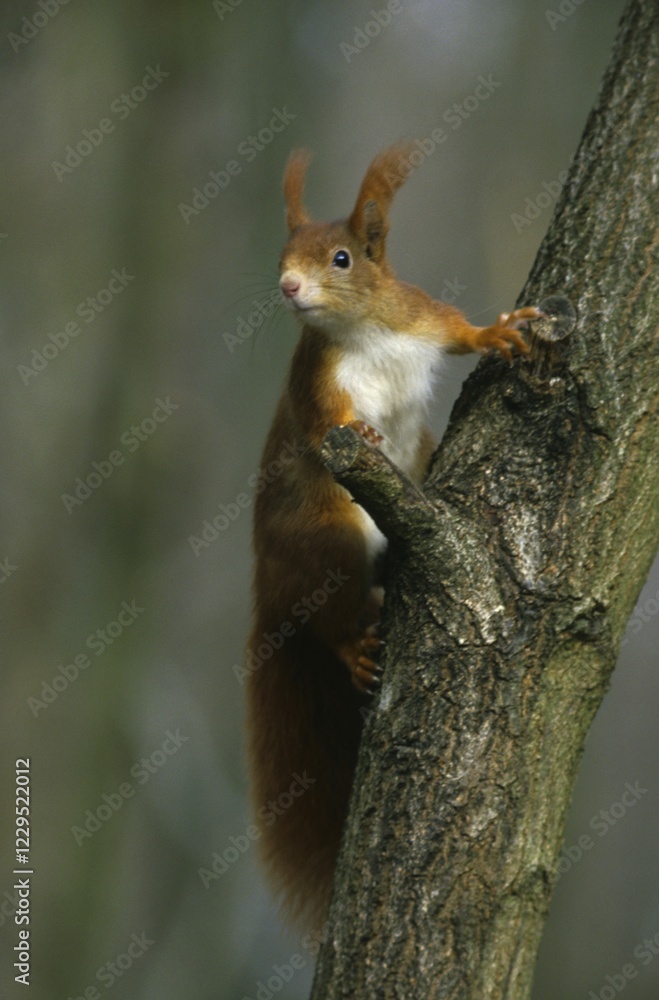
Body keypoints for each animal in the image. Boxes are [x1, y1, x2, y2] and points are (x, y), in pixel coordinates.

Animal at [246, 143, 539, 929]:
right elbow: (325, 426)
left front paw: (500, 333)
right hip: (330, 546)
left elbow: (460, 332)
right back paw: (353, 647)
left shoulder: (419, 315)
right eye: (282, 255)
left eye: (342, 258)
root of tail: (267, 589)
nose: (288, 286)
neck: (363, 331)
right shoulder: (317, 385)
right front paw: (365, 433)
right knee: (329, 618)